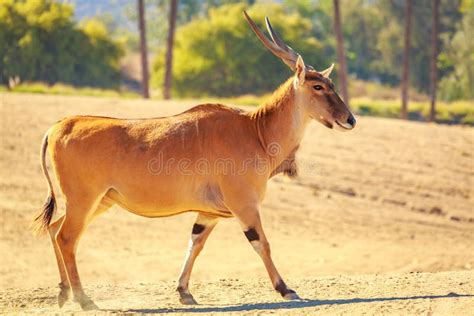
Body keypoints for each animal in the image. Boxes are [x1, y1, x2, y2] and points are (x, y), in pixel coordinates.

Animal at [34, 11, 356, 312]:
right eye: (318, 87)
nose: (350, 119)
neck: (255, 130)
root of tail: (59, 126)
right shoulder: (244, 205)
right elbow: (261, 243)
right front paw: (286, 289)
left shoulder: (209, 213)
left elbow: (195, 243)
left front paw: (184, 292)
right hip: (85, 200)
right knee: (66, 237)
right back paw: (83, 299)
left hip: (99, 201)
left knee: (55, 229)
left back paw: (64, 293)